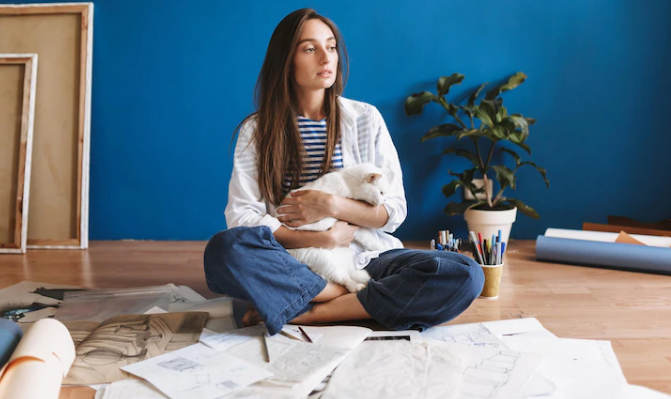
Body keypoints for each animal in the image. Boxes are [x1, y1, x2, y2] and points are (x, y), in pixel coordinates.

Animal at [282, 164, 396, 292]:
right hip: (325, 260)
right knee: (344, 279)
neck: (346, 183)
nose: (384, 201)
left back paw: (365, 279)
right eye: (381, 192)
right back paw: (358, 286)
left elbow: (370, 240)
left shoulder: (353, 225)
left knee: (351, 273)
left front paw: (384, 249)